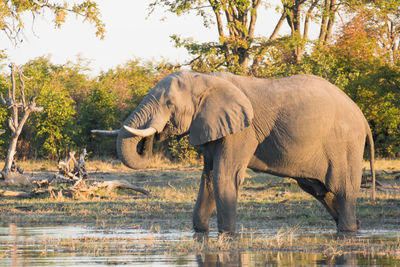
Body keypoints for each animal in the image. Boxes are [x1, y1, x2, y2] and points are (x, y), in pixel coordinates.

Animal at [113, 70, 376, 234]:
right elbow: (208, 178)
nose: (155, 134)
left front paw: (227, 234)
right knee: (320, 190)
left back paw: (348, 231)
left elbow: (224, 177)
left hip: (345, 144)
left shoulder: (242, 131)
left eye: (169, 104)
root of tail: (363, 119)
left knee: (342, 189)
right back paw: (355, 226)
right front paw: (200, 232)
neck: (205, 78)